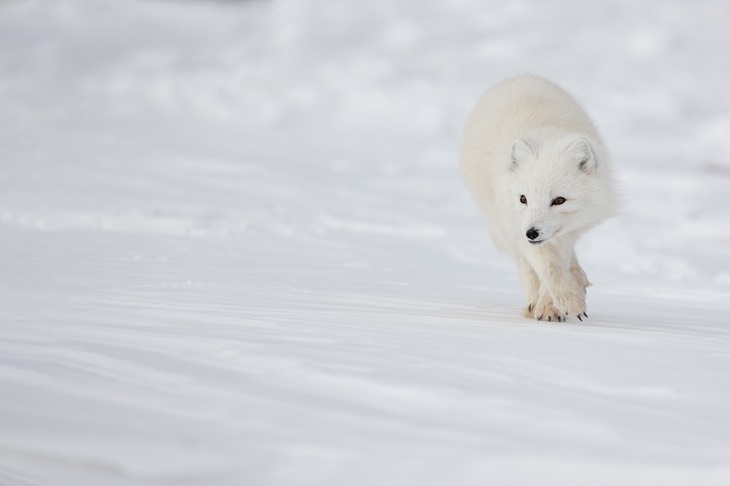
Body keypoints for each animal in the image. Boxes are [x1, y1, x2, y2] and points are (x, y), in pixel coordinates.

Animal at [460, 74, 616, 320]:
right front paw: (564, 302)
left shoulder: (563, 233)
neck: (546, 132)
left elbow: (556, 263)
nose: (532, 233)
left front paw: (552, 303)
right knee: (525, 265)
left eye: (559, 200)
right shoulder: (515, 225)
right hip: (500, 224)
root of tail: (519, 76)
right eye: (523, 198)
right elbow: (546, 266)